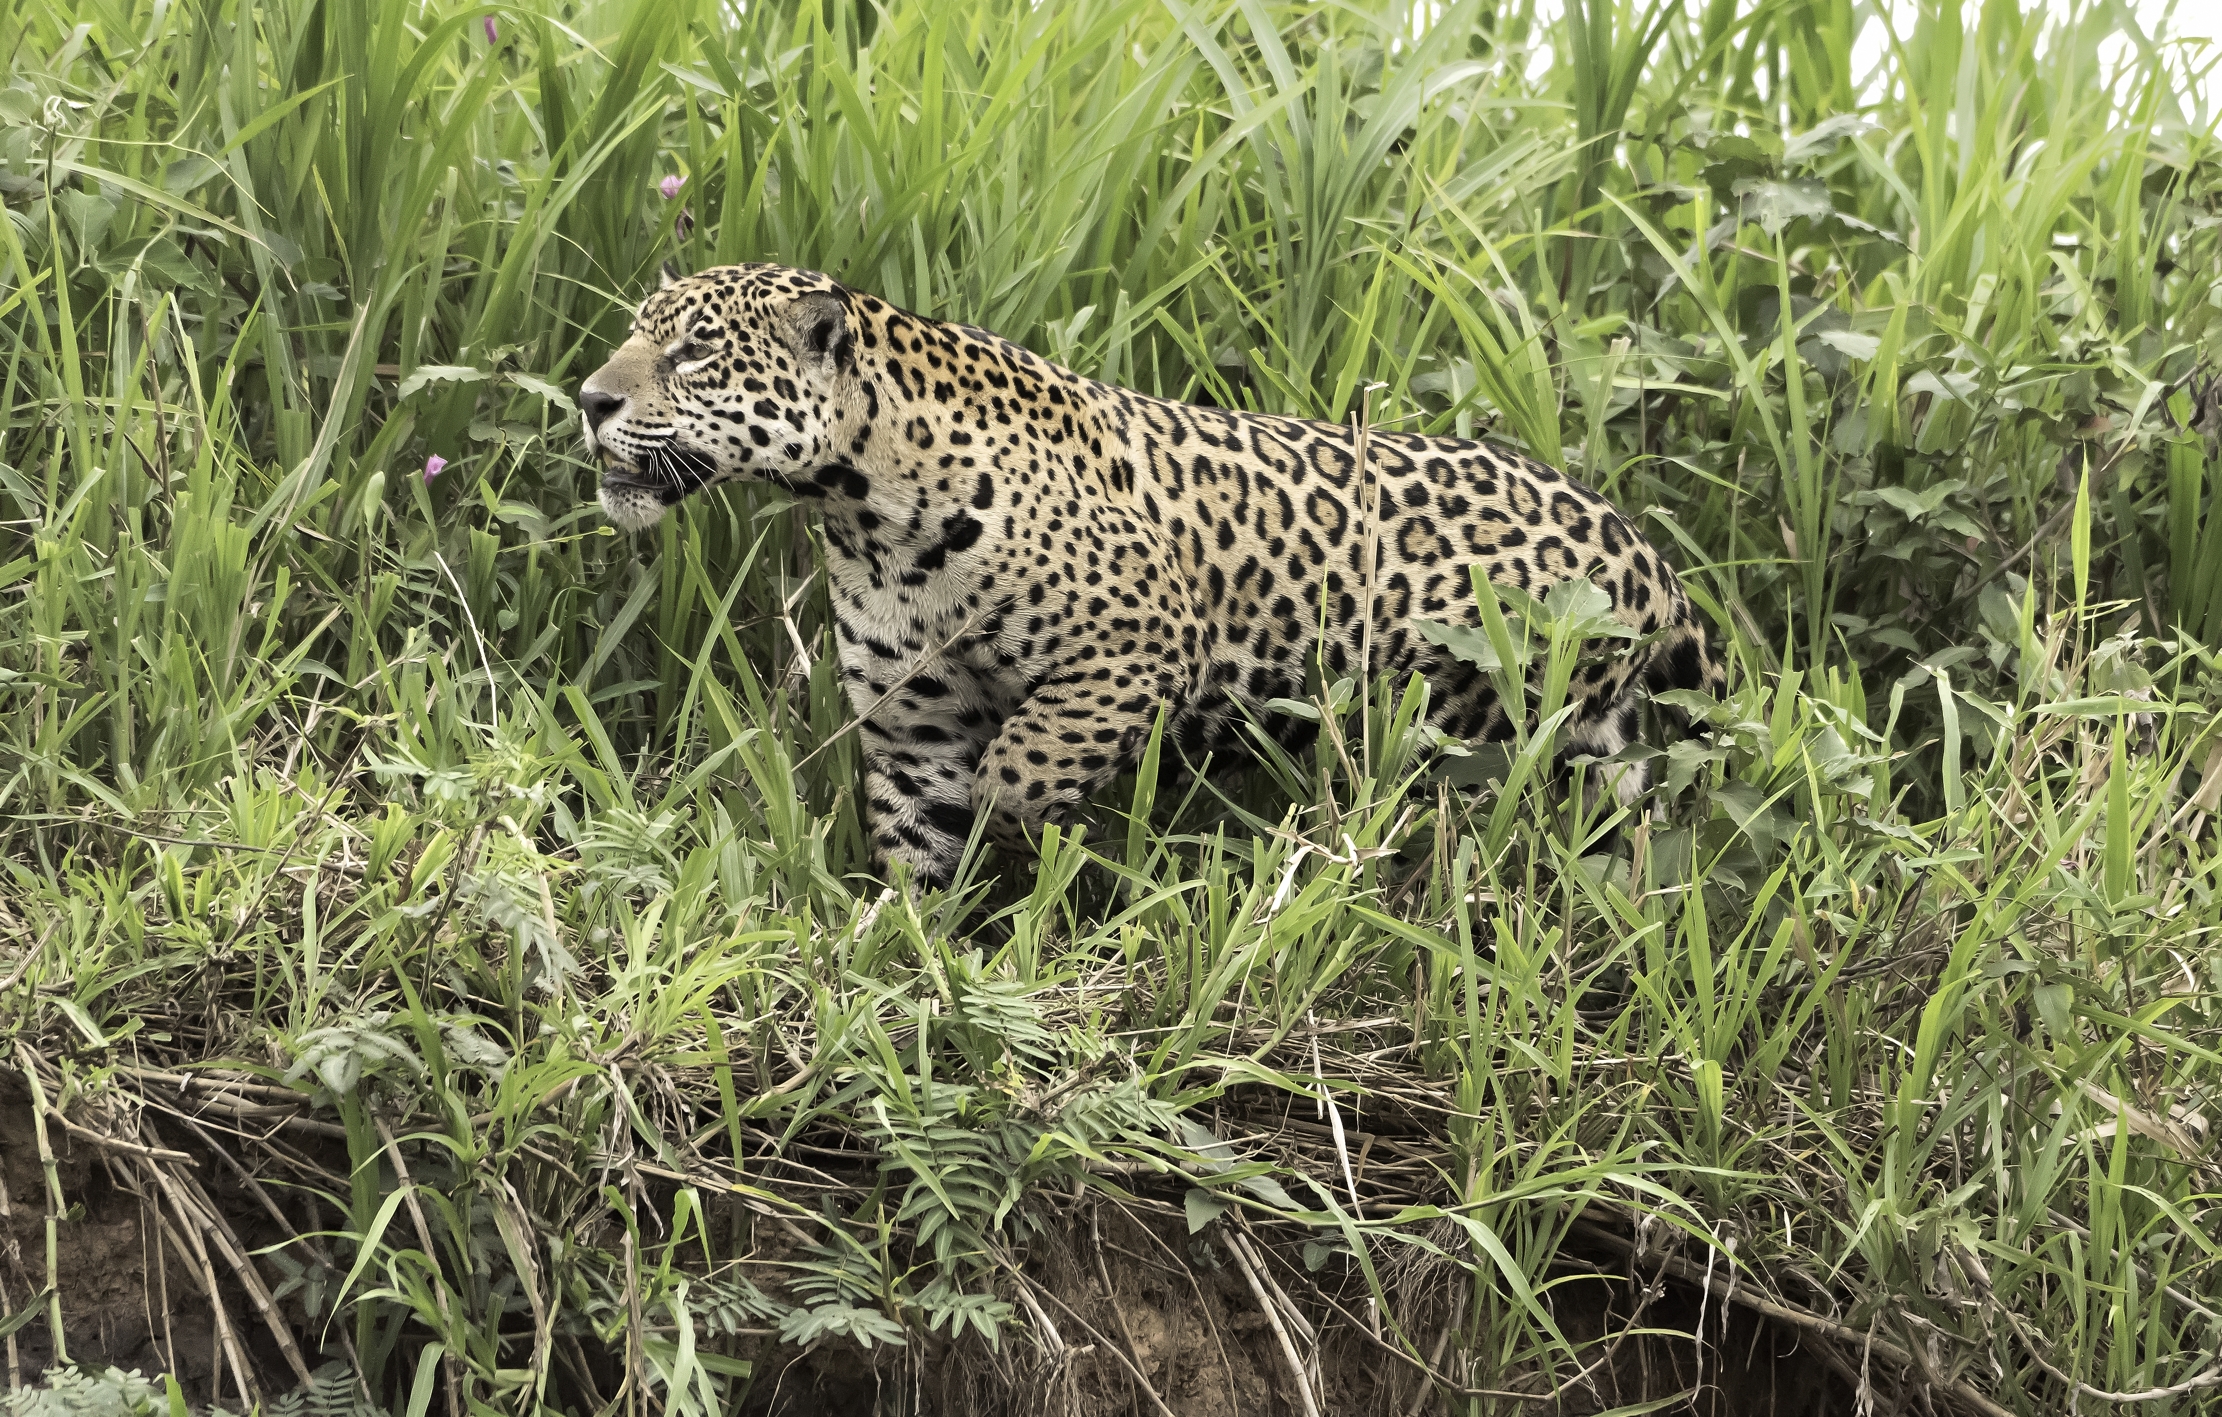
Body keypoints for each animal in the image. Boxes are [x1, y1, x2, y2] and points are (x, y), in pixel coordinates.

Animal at [580, 262, 1724, 888]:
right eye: (637, 335)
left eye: (692, 353)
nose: (589, 399)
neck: (864, 511)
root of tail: (1646, 554)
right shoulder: (912, 723)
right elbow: (912, 847)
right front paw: (913, 956)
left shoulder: (1136, 646)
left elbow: (1018, 767)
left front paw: (1036, 840)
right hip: (1598, 757)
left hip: (1482, 726)